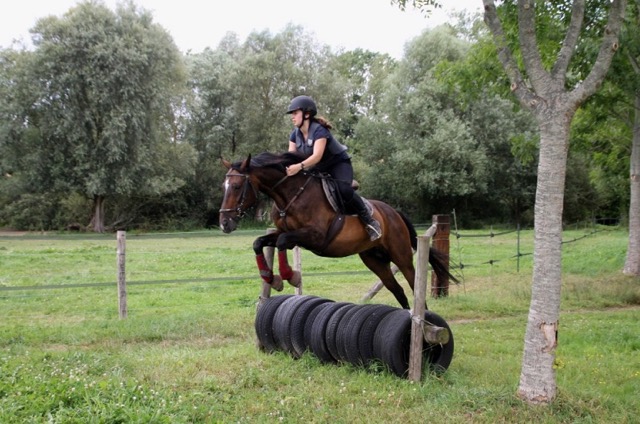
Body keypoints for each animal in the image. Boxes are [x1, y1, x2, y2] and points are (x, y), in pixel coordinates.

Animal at [220, 152, 456, 308]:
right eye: (224, 186)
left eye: (237, 187)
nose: (224, 222)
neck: (290, 195)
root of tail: (393, 212)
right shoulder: (288, 234)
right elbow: (260, 242)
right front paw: (271, 278)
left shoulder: (314, 236)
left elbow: (281, 241)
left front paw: (290, 277)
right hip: (374, 259)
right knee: (397, 290)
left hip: (401, 256)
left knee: (414, 285)